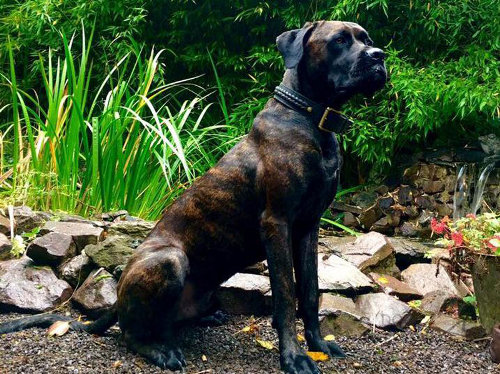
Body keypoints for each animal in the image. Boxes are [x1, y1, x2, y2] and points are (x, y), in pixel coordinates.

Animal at [0, 21, 386, 374]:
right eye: (339, 41)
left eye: (366, 38)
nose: (379, 56)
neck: (311, 119)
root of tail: (118, 297)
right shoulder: (277, 223)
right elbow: (286, 294)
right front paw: (294, 357)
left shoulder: (308, 228)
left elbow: (309, 292)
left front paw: (319, 345)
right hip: (169, 261)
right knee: (130, 333)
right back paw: (162, 353)